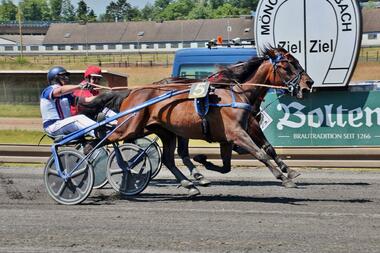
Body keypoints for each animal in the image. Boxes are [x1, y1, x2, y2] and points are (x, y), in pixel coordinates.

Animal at [105, 48, 314, 198]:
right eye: (287, 66)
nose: (308, 84)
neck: (238, 93)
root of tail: (132, 92)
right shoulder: (239, 132)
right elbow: (261, 153)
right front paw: (284, 177)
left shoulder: (230, 137)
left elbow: (231, 164)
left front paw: (203, 160)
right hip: (132, 127)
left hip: (166, 131)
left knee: (169, 158)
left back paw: (191, 183)